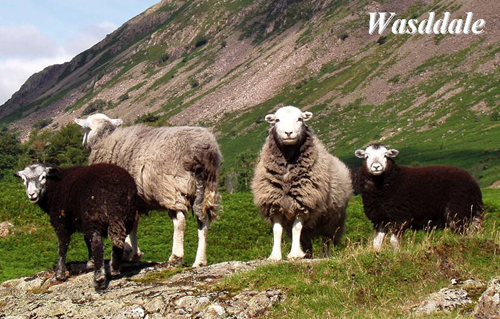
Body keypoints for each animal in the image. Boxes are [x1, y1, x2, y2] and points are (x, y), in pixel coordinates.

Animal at [14, 164, 139, 292]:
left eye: (43, 177)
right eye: (23, 180)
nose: (31, 194)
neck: (53, 187)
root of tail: (116, 191)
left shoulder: (61, 222)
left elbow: (62, 247)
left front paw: (59, 275)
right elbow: (86, 241)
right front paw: (90, 263)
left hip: (93, 217)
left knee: (97, 245)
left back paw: (99, 280)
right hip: (128, 216)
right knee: (118, 242)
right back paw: (114, 269)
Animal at [74, 114, 221, 268]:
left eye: (86, 128)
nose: (83, 144)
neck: (105, 137)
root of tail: (201, 152)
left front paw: (126, 252)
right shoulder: (134, 201)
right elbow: (132, 226)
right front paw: (134, 254)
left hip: (172, 189)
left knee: (179, 221)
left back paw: (176, 256)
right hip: (206, 190)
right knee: (203, 222)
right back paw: (200, 261)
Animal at [252, 106, 354, 262]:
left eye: (300, 119)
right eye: (277, 120)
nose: (288, 133)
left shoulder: (303, 202)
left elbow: (296, 228)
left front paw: (294, 254)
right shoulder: (274, 203)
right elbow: (277, 230)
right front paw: (275, 256)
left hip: (332, 220)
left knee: (326, 240)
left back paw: (325, 255)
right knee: (306, 241)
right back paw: (307, 255)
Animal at [354, 144, 482, 251]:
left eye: (386, 155)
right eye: (366, 156)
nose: (376, 167)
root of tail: (472, 181)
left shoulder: (400, 218)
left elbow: (394, 241)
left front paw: (397, 255)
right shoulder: (380, 220)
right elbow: (377, 243)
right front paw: (378, 255)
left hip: (459, 211)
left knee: (463, 232)